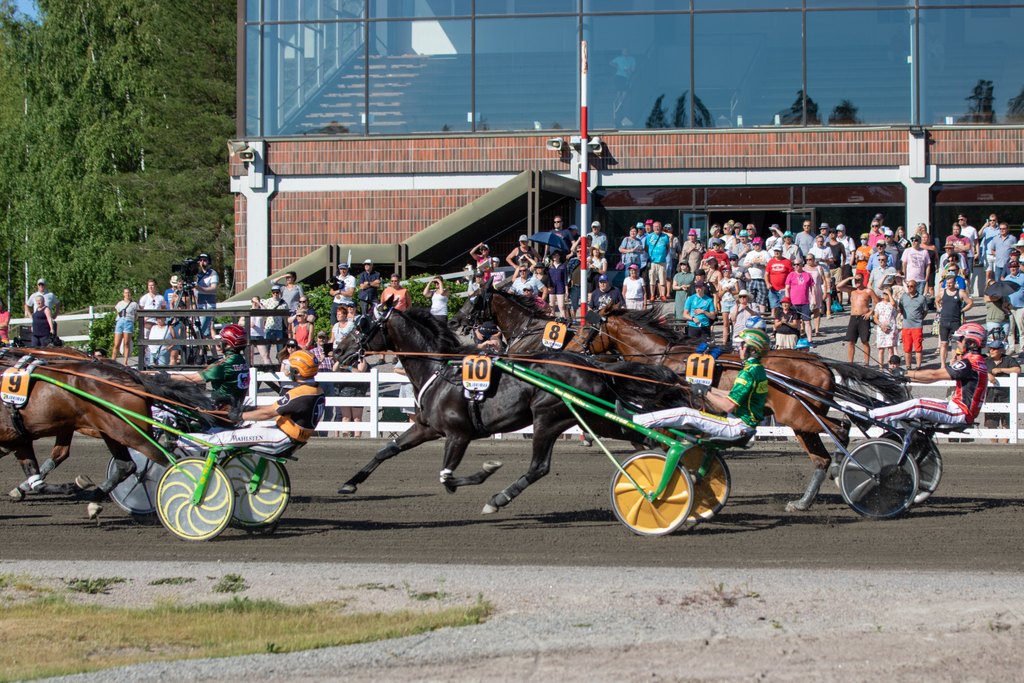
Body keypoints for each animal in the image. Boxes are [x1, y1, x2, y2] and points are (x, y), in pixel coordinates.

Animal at [0, 347, 222, 517]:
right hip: (110, 430)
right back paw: (93, 499)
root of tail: (130, 375)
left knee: (169, 462)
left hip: (127, 431)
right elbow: (35, 475)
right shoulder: (18, 439)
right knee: (126, 465)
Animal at [334, 305, 688, 514]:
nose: (337, 350)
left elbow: (447, 477)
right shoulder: (426, 428)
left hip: (548, 418)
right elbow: (386, 450)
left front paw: (487, 470)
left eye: (362, 324)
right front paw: (349, 483)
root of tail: (589, 365)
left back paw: (499, 498)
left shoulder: (458, 435)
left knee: (538, 467)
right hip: (592, 419)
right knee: (644, 436)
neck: (441, 369)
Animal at [566, 308, 910, 511]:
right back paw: (805, 499)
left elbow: (662, 434)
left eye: (584, 331)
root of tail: (820, 362)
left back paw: (850, 470)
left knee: (840, 430)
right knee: (823, 453)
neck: (664, 357)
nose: (568, 351)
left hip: (796, 415)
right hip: (802, 418)